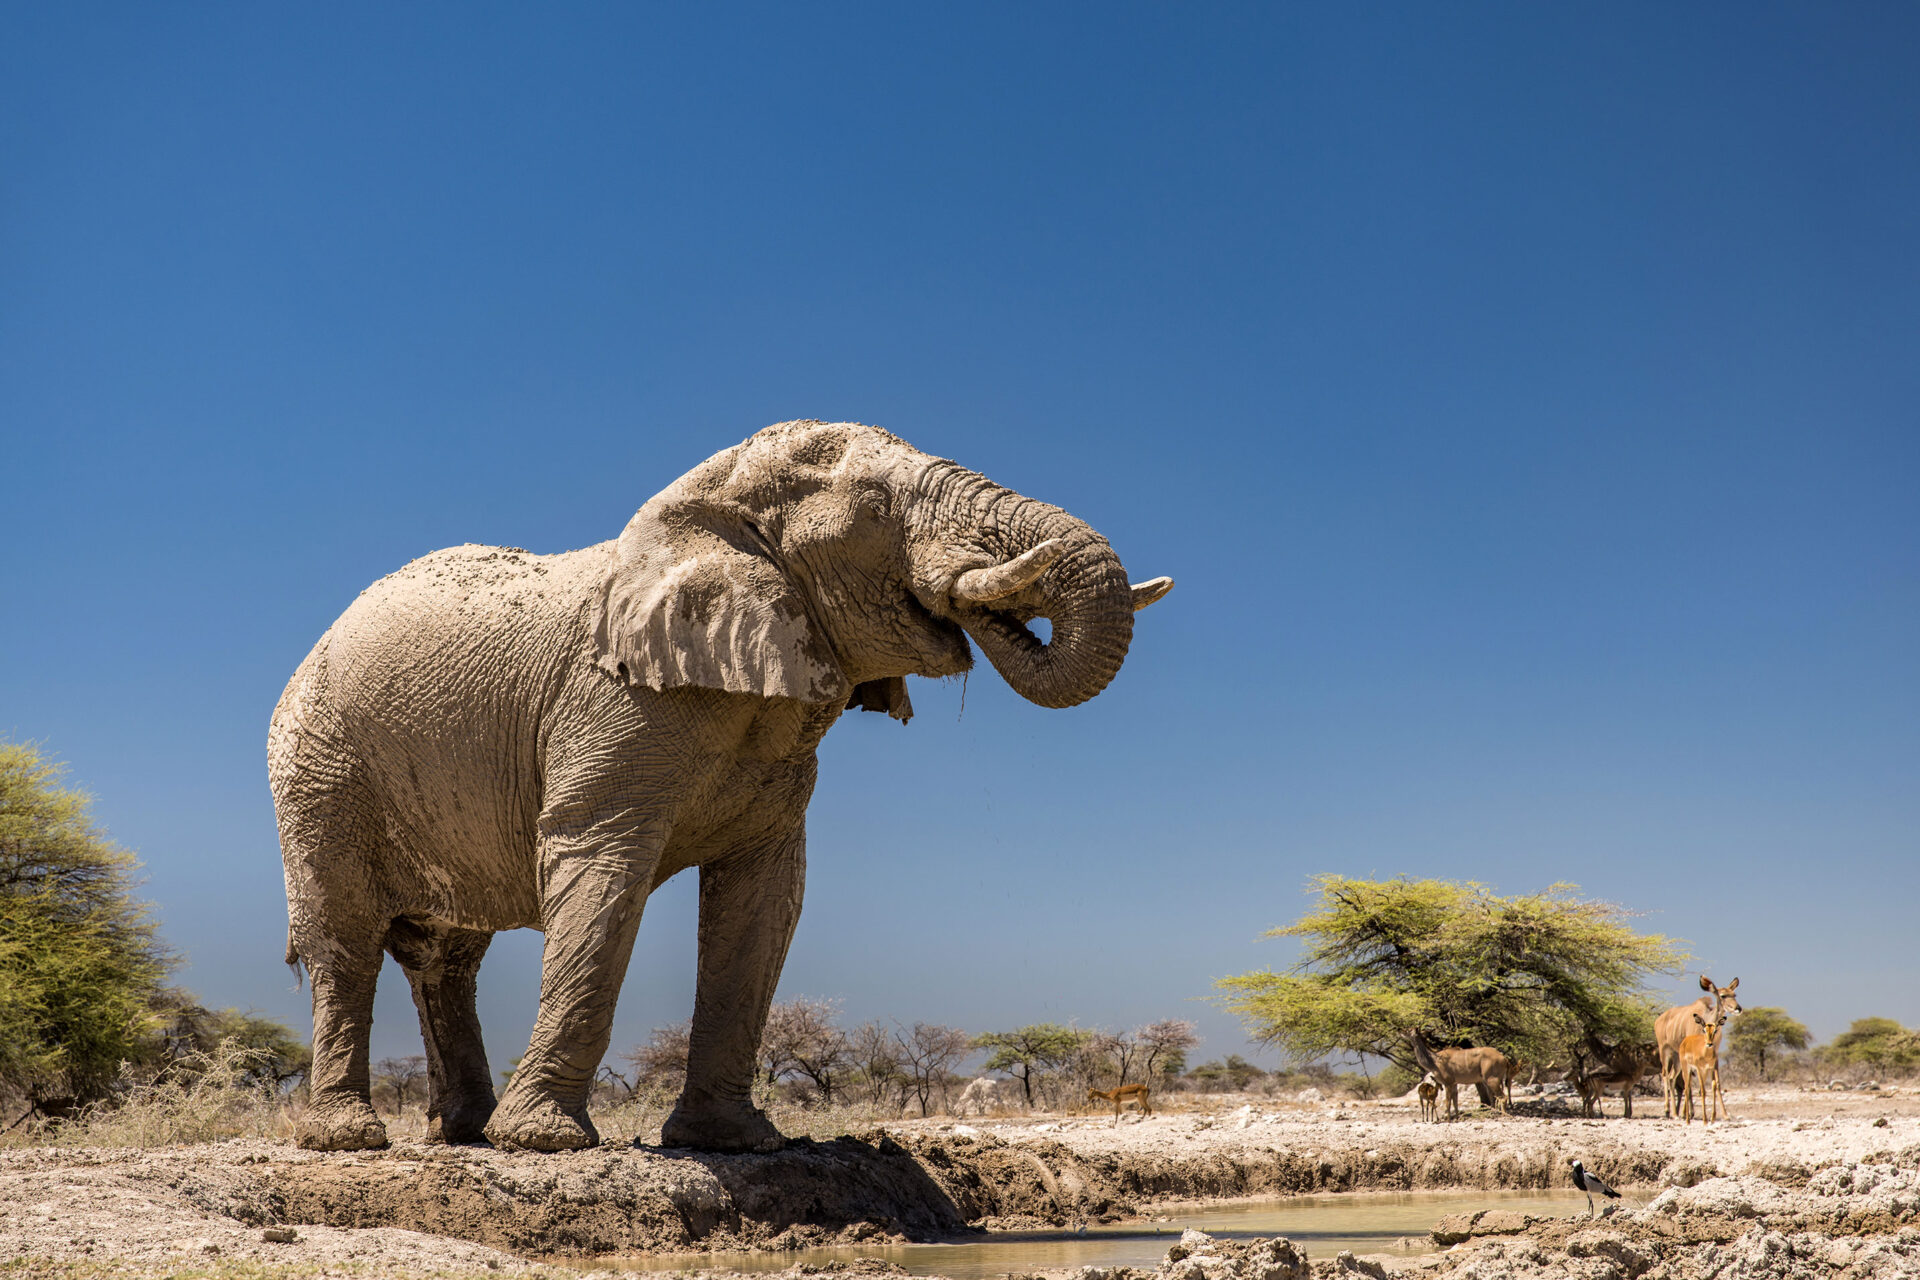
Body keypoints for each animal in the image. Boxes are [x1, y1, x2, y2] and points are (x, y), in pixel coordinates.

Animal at [268, 420, 1172, 1154]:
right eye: (879, 509)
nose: (991, 604)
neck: (711, 504)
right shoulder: (611, 704)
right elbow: (601, 877)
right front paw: (547, 1144)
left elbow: (765, 899)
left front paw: (736, 1143)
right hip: (319, 769)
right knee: (344, 933)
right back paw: (350, 1139)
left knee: (448, 953)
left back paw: (464, 1133)